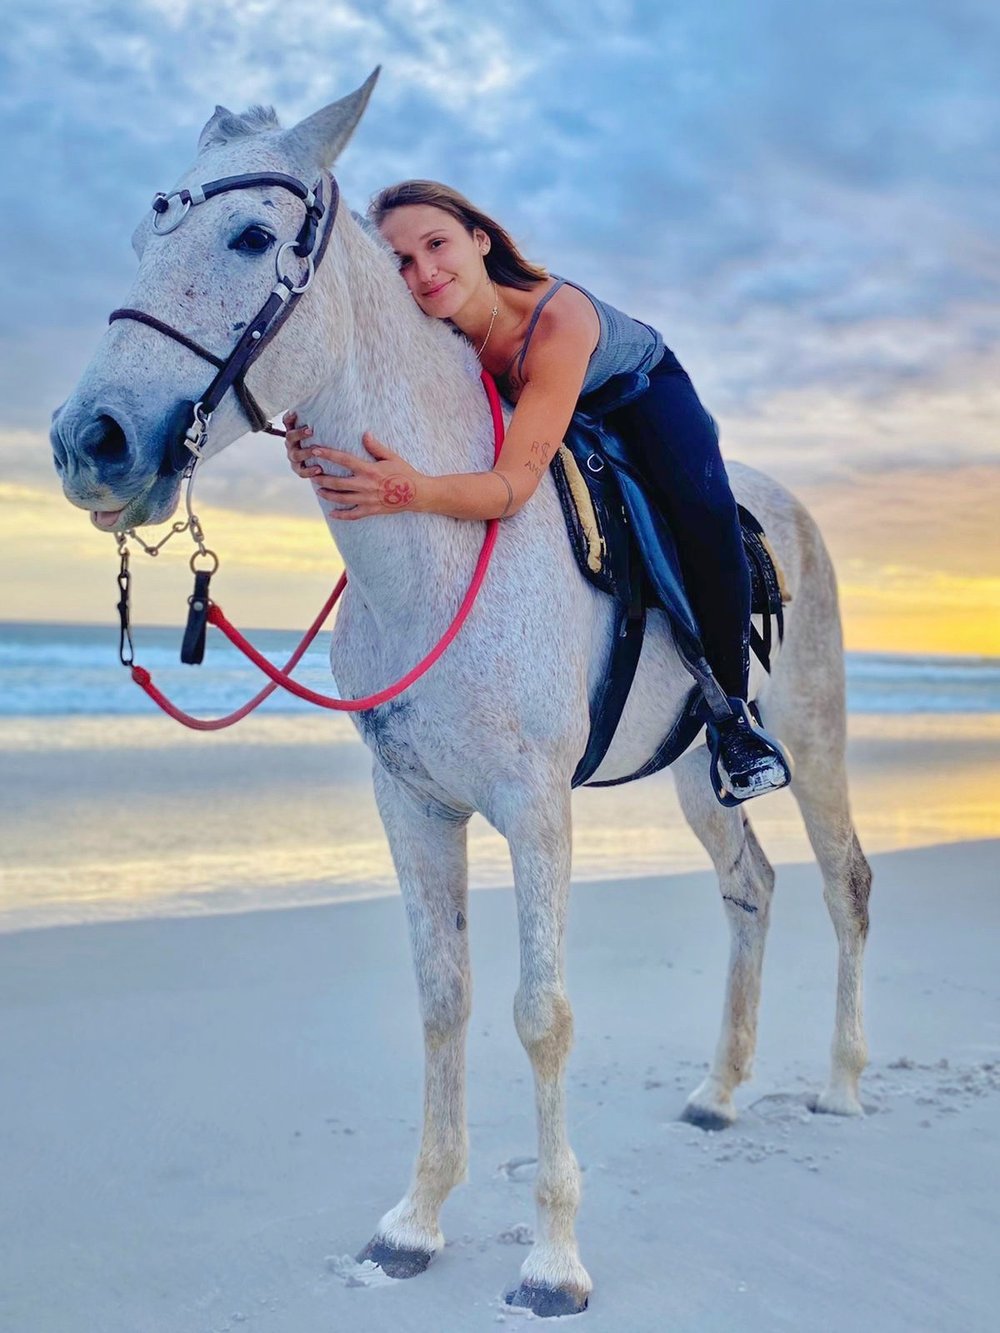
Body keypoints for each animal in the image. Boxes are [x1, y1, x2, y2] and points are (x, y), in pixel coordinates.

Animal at [51, 70, 874, 1311]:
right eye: (145, 236)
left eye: (250, 238)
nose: (86, 440)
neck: (434, 559)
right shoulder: (415, 804)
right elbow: (443, 998)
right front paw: (413, 1225)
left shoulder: (536, 811)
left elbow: (542, 1014)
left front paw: (552, 1260)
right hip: (699, 770)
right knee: (752, 888)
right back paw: (719, 1093)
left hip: (811, 744)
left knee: (843, 884)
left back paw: (840, 1083)